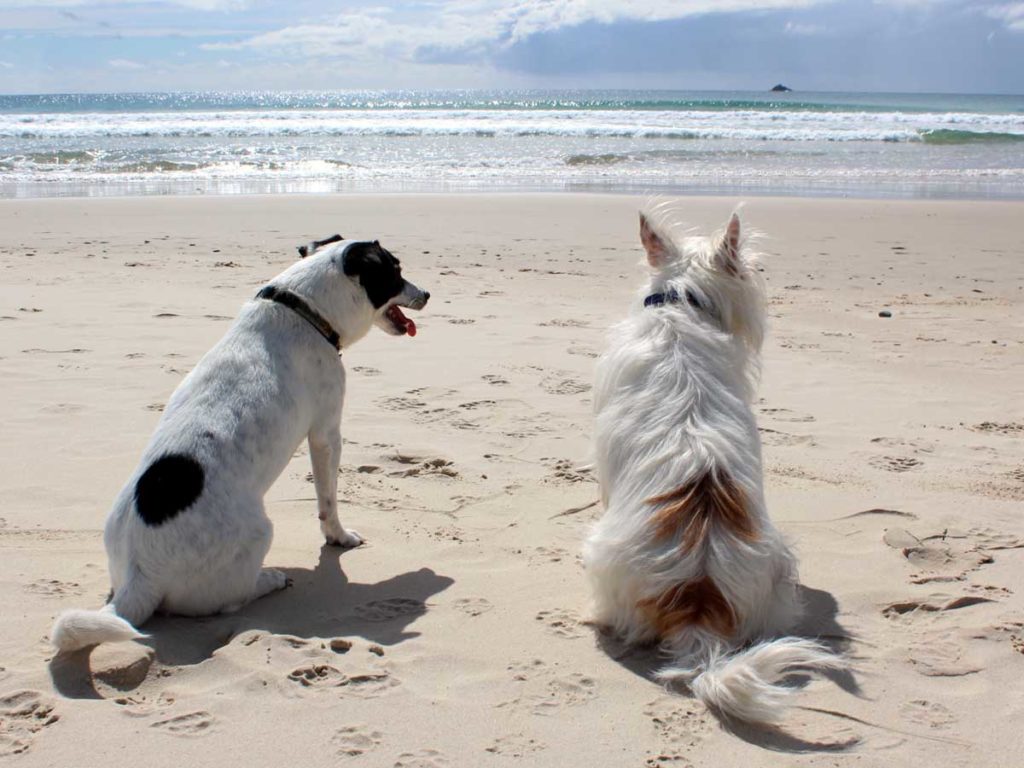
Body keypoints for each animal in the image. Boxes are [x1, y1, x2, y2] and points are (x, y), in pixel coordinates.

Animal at [50, 237, 428, 651]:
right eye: (395, 270)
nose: (427, 294)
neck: (303, 308)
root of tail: (140, 576)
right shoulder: (326, 433)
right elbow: (328, 502)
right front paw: (339, 538)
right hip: (260, 532)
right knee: (231, 599)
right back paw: (270, 579)